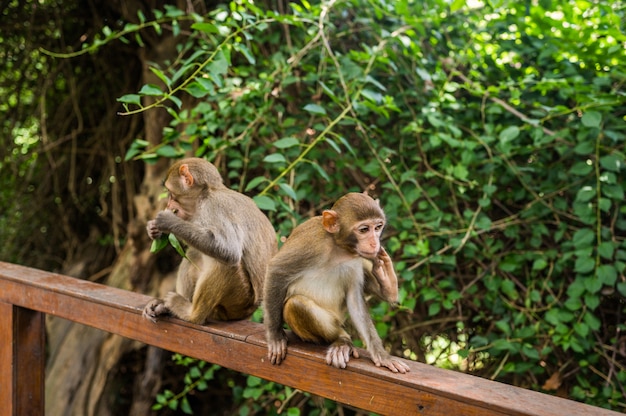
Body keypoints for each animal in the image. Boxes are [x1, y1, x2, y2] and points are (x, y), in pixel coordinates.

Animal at [145, 158, 276, 324]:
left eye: (170, 193)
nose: (168, 205)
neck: (206, 195)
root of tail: (248, 313)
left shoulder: (214, 207)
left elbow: (229, 251)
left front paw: (168, 221)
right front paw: (153, 229)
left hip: (239, 302)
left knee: (224, 264)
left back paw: (192, 314)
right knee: (194, 253)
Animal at [264, 193, 410, 374]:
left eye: (377, 227)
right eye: (364, 229)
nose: (375, 243)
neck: (338, 247)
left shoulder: (355, 260)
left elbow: (355, 301)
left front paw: (382, 356)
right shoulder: (310, 244)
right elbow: (276, 271)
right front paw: (275, 337)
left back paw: (388, 286)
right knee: (295, 304)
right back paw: (342, 339)